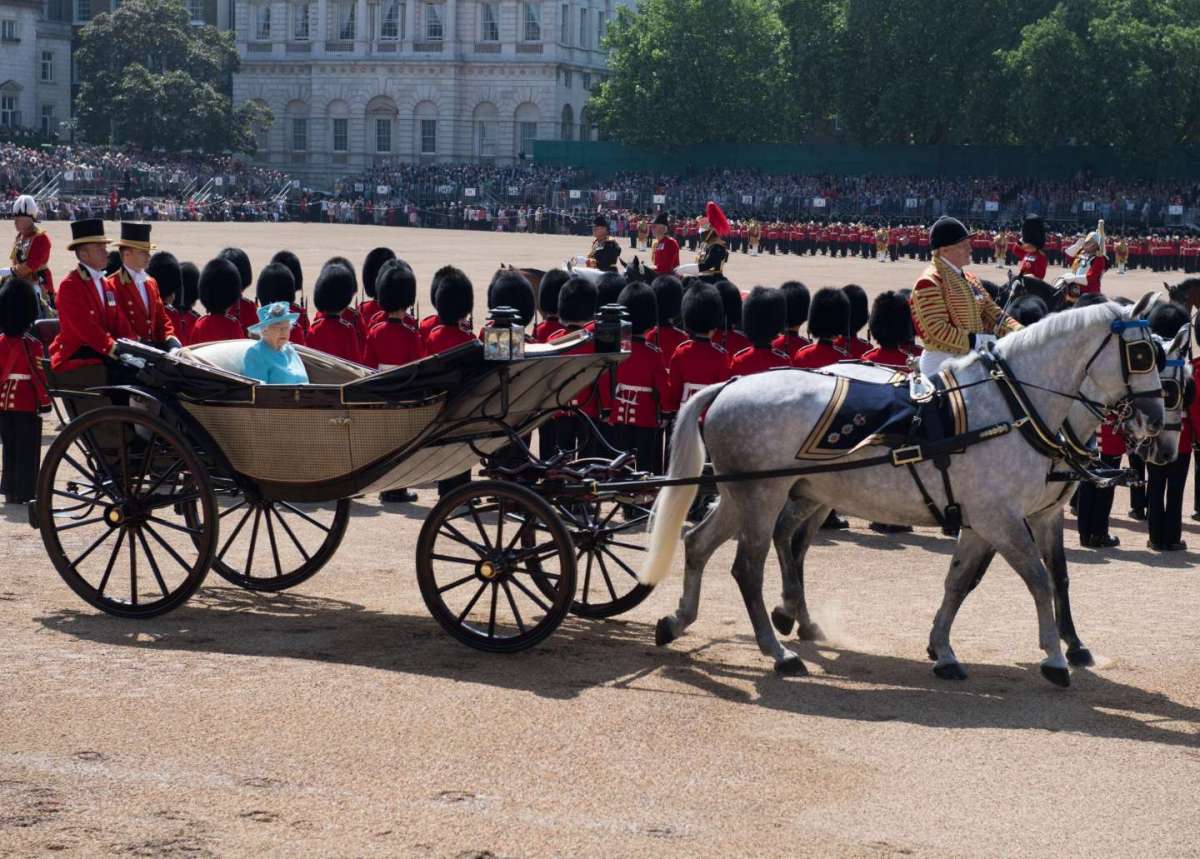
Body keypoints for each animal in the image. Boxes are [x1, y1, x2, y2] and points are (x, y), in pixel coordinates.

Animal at [648, 298, 1171, 686]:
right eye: (1142, 354)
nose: (1155, 426)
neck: (1015, 406)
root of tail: (730, 384)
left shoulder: (994, 520)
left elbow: (965, 582)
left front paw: (943, 650)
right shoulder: (1002, 519)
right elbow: (1039, 580)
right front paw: (1055, 658)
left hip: (754, 496)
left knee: (702, 543)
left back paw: (682, 621)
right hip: (762, 496)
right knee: (748, 566)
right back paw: (778, 650)